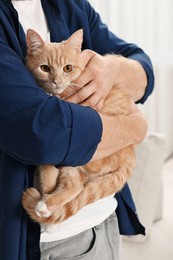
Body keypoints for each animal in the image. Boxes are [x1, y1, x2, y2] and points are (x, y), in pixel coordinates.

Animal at [21, 29, 135, 233]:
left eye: (67, 68)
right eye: (45, 68)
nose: (56, 82)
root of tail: (130, 155)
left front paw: (46, 211)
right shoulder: (52, 149)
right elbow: (47, 176)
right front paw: (47, 209)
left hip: (82, 157)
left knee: (75, 187)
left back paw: (45, 208)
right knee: (75, 185)